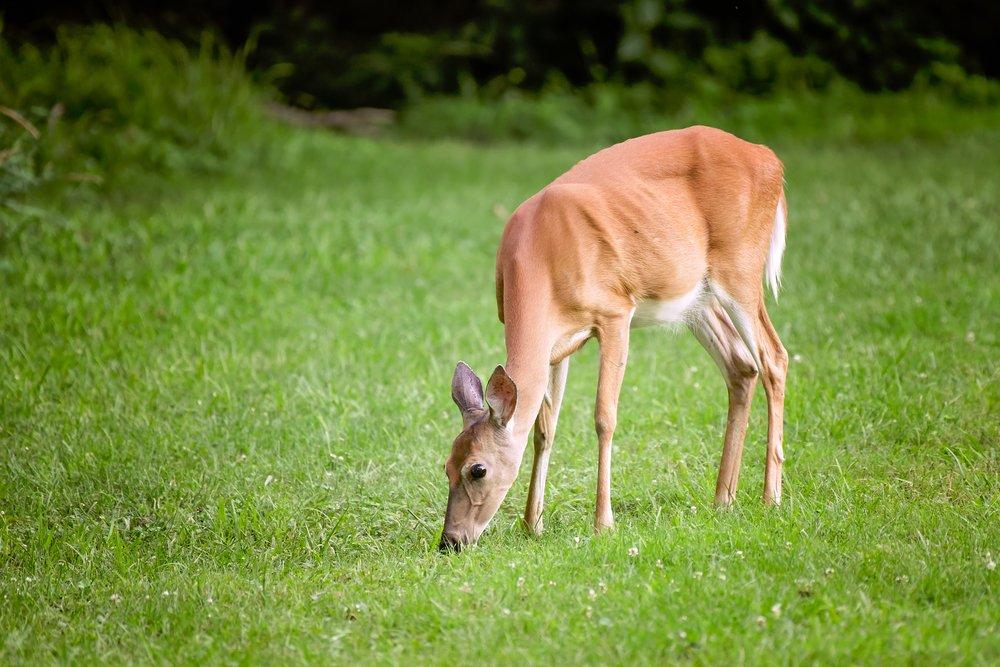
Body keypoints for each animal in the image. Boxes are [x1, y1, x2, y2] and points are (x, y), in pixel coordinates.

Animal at [438, 125, 788, 552]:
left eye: (478, 469)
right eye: (446, 466)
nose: (450, 541)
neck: (541, 261)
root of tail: (770, 158)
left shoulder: (615, 312)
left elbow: (604, 416)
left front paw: (603, 523)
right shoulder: (558, 343)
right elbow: (544, 426)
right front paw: (531, 524)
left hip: (740, 268)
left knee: (774, 357)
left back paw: (771, 497)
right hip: (698, 298)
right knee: (741, 365)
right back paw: (723, 498)